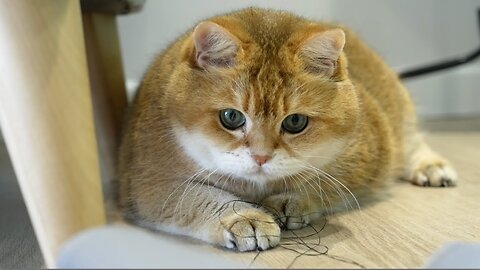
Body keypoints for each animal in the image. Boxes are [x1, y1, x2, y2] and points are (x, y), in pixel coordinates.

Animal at [117, 6, 458, 251]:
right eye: (231, 117)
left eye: (295, 122)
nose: (261, 157)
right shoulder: (147, 182)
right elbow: (194, 198)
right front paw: (244, 217)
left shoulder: (368, 150)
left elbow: (325, 181)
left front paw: (291, 199)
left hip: (398, 110)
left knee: (412, 142)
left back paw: (432, 167)